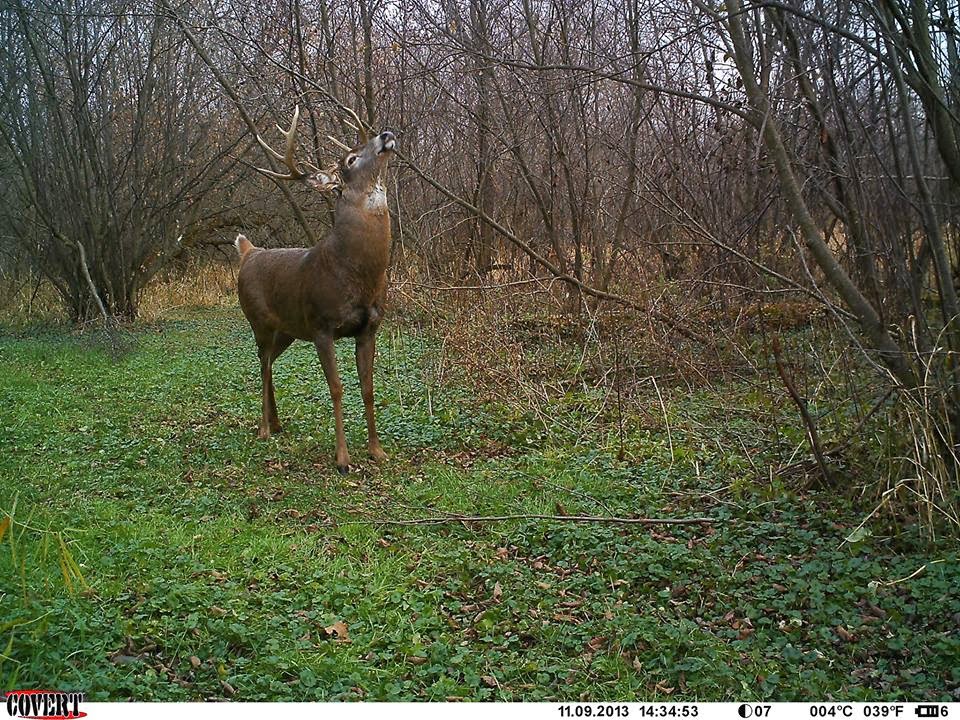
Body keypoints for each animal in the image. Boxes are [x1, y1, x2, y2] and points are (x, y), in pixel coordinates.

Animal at [235, 106, 394, 473]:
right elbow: (336, 388)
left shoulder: (369, 328)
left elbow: (368, 388)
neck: (356, 273)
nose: (386, 134)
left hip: (288, 330)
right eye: (350, 159)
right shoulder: (322, 325)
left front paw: (377, 450)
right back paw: (264, 429)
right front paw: (343, 459)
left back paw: (277, 423)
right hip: (257, 321)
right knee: (262, 366)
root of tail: (249, 252)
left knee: (268, 363)